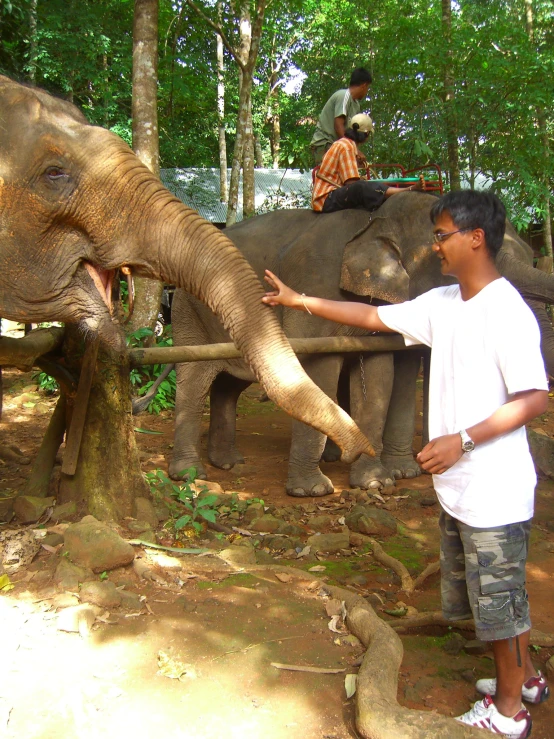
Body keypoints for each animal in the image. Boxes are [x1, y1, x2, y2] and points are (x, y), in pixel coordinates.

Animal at [169, 194, 552, 498]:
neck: (375, 219)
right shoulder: (318, 280)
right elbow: (319, 372)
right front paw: (312, 491)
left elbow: (380, 375)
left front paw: (377, 482)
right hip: (189, 309)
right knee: (194, 379)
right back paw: (189, 474)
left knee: (229, 384)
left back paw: (229, 463)